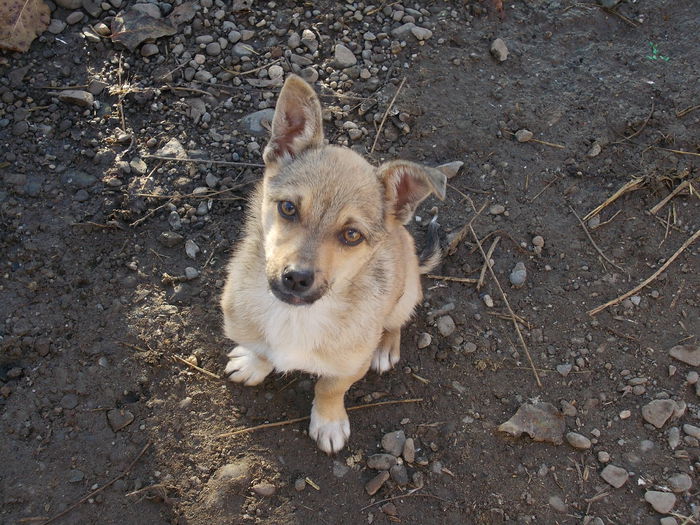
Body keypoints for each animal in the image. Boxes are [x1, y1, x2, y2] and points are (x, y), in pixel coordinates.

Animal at [221, 74, 446, 454]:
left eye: (352, 235)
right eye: (288, 208)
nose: (296, 278)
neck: (296, 316)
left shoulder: (348, 366)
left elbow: (329, 388)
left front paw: (328, 422)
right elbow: (262, 350)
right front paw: (254, 363)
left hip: (406, 294)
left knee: (396, 321)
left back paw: (385, 347)